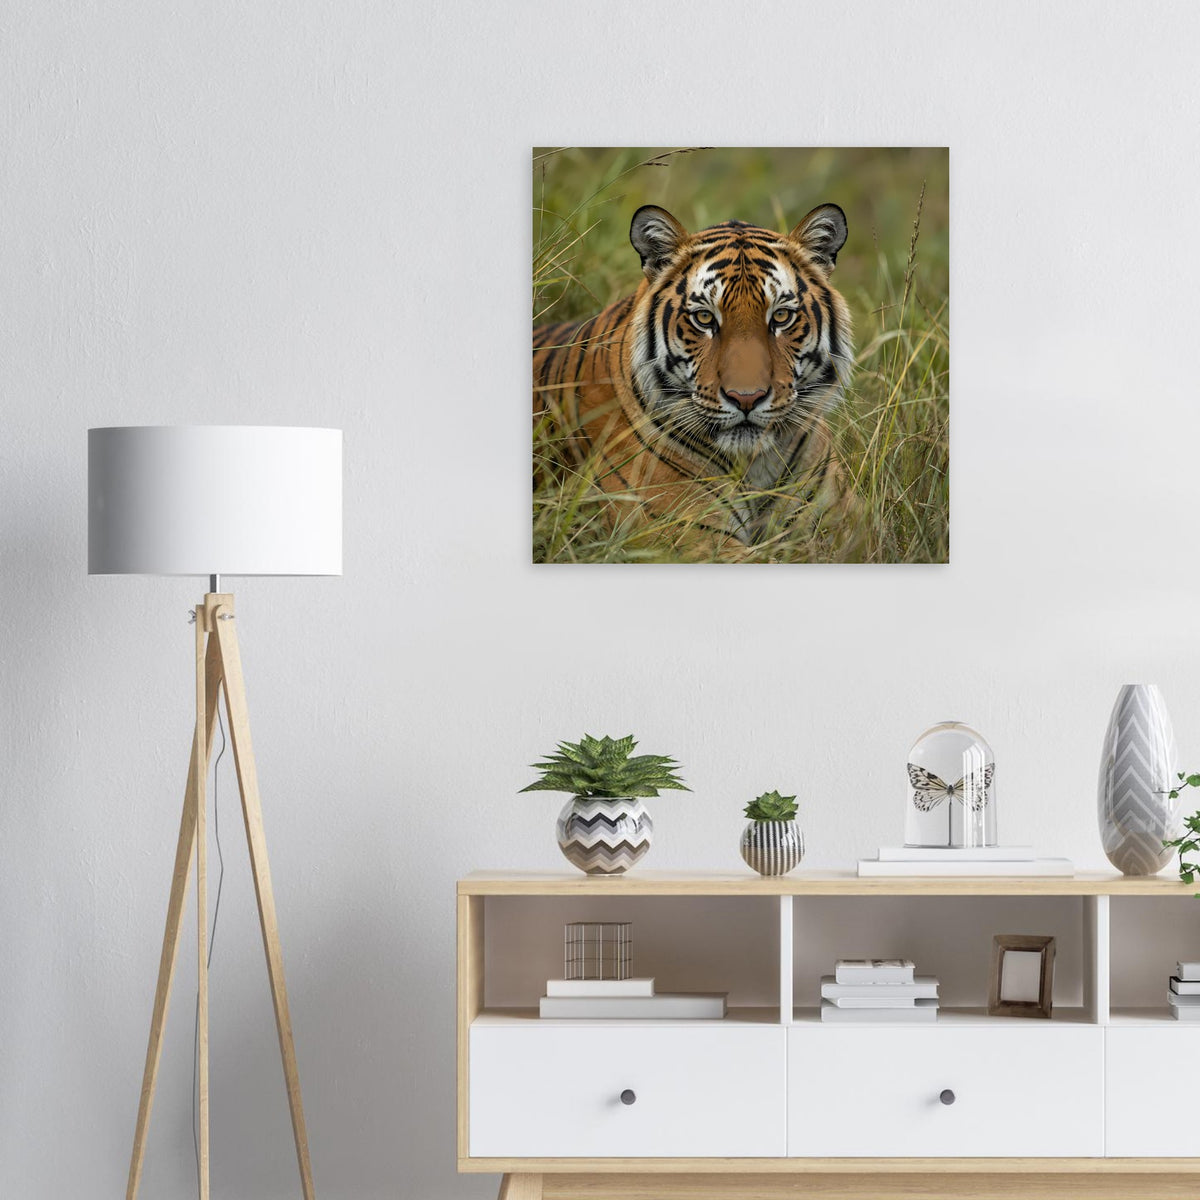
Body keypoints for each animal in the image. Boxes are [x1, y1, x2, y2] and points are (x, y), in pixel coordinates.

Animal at [533, 203, 857, 558]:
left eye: (782, 316)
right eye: (704, 318)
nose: (746, 398)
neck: (756, 466)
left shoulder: (840, 527)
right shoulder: (692, 539)